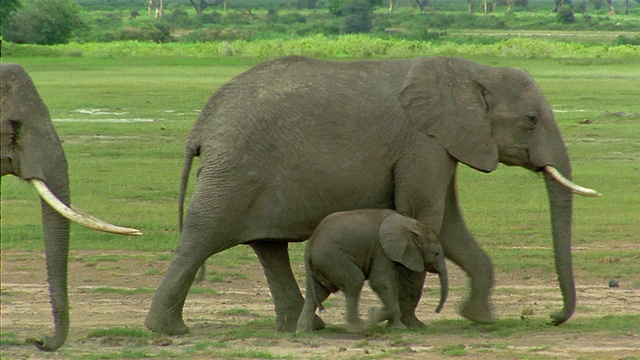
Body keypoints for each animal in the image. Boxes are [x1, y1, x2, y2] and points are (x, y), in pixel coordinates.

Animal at [298, 210, 448, 334]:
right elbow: (380, 281)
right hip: (333, 259)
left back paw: (303, 331)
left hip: (321, 265)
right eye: (436, 253)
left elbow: (390, 283)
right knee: (354, 281)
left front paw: (398, 328)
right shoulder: (381, 250)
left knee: (318, 293)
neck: (409, 224)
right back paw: (357, 328)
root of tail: (310, 245)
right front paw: (373, 316)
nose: (436, 311)